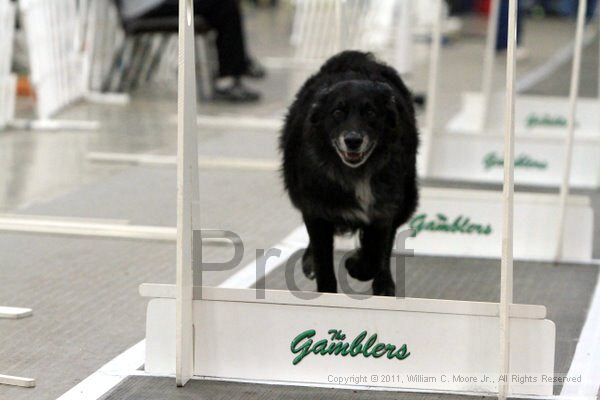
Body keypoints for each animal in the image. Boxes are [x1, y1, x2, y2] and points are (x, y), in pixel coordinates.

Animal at [280, 50, 418, 296]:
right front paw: (326, 288)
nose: (353, 140)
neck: (356, 173)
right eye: (337, 112)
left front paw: (356, 265)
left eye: (371, 112)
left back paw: (384, 284)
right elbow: (323, 258)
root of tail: (357, 56)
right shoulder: (316, 208)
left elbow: (375, 252)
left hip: (407, 200)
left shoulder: (383, 208)